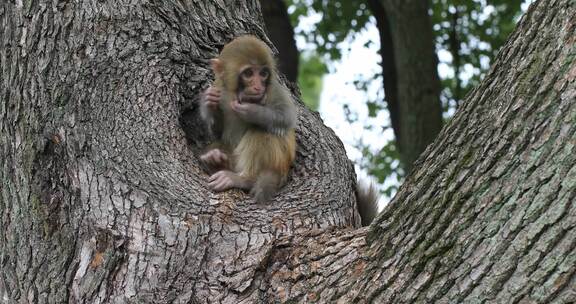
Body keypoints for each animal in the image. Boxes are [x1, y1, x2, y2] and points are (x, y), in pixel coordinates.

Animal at [199, 34, 296, 203]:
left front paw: (252, 111)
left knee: (262, 131)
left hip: (280, 164)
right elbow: (217, 132)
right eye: (249, 73)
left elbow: (287, 117)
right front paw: (208, 103)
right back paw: (215, 161)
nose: (258, 86)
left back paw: (245, 179)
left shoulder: (275, 89)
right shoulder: (219, 86)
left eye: (263, 74)